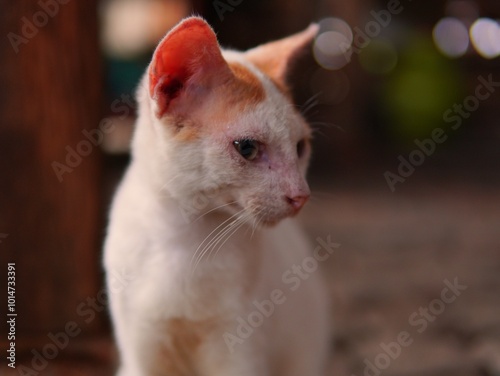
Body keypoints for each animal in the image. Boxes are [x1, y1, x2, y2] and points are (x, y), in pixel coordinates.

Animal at [104, 16, 332, 374]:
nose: (301, 195)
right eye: (247, 148)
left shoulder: (241, 353)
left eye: (300, 147)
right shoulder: (143, 352)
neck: (186, 242)